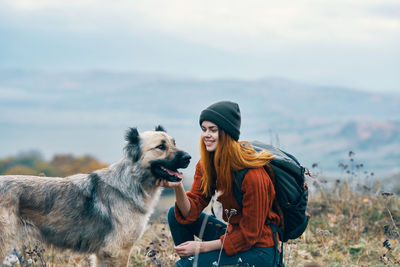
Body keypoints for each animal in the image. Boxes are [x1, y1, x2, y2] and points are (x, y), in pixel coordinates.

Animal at [0, 126, 191, 266]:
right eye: (161, 147)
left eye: (174, 143)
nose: (188, 157)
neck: (132, 181)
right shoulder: (117, 251)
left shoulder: (103, 254)